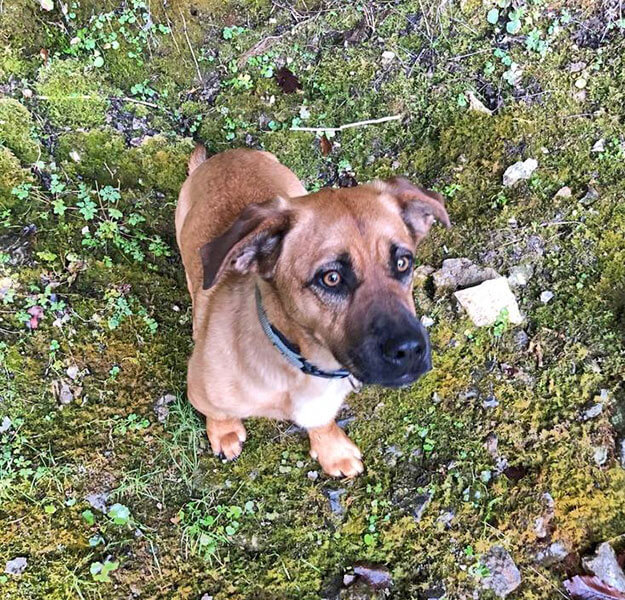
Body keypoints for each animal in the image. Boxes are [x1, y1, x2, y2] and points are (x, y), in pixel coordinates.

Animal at [175, 145, 450, 477]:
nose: (410, 351)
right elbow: (218, 412)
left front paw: (332, 449)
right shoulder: (200, 391)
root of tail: (226, 155)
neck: (302, 363)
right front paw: (224, 431)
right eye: (331, 278)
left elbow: (322, 422)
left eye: (402, 262)